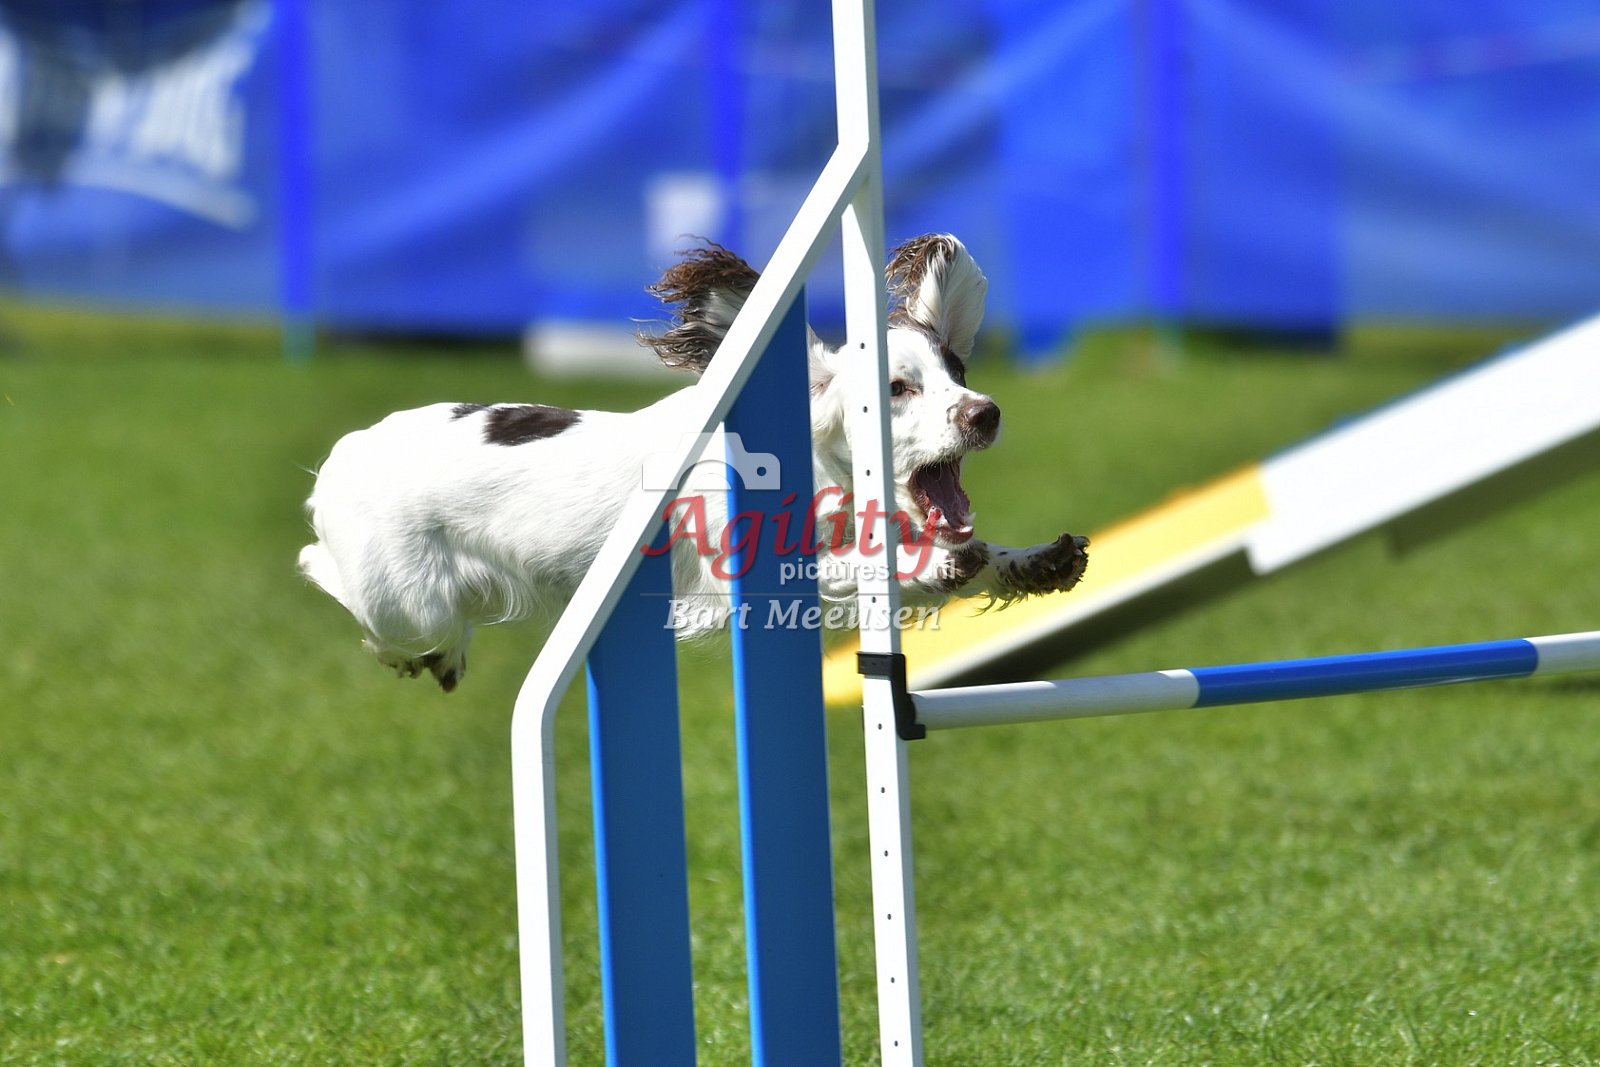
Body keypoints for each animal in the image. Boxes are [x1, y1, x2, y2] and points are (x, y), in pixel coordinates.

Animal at [299, 234, 1088, 691]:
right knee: (336, 579)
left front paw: (1033, 558)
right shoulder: (726, 581)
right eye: (898, 388)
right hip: (409, 598)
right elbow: (858, 563)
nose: (985, 412)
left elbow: (966, 543)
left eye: (957, 373)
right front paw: (936, 563)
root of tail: (347, 448)